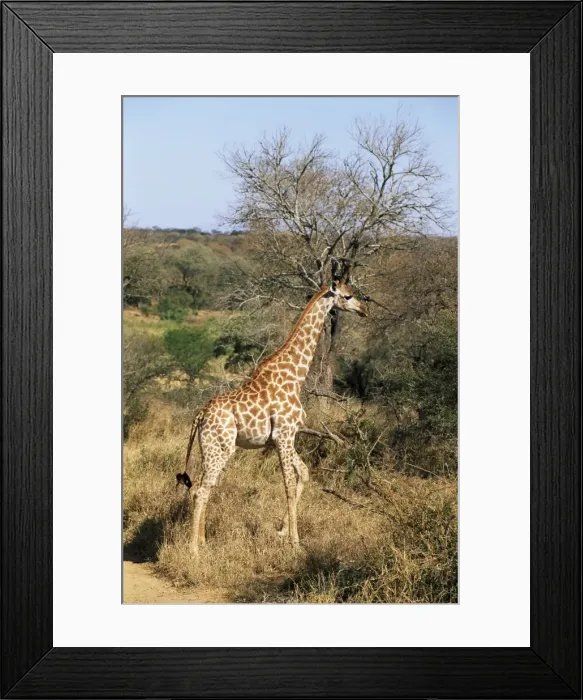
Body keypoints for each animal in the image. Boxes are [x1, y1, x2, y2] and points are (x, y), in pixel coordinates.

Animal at [182, 268, 368, 556]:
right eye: (348, 295)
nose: (363, 309)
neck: (296, 374)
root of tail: (200, 416)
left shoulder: (283, 438)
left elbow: (304, 473)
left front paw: (282, 531)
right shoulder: (284, 434)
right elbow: (289, 485)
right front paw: (295, 542)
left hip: (210, 449)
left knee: (203, 487)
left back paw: (202, 540)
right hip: (221, 448)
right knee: (201, 490)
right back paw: (193, 550)